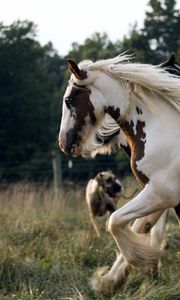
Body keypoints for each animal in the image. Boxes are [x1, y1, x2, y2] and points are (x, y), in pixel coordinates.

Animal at [58, 53, 179, 292]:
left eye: (68, 100)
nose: (63, 142)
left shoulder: (162, 193)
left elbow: (115, 222)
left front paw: (140, 266)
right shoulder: (160, 196)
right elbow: (140, 226)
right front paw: (113, 280)